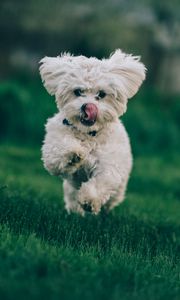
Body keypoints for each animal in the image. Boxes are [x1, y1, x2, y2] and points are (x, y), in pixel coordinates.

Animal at [39, 49, 146, 214]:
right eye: (78, 91)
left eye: (101, 94)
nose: (87, 106)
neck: (88, 134)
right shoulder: (53, 147)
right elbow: (58, 152)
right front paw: (73, 154)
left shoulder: (109, 164)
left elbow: (102, 181)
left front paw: (90, 200)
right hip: (70, 189)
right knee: (72, 198)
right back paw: (75, 211)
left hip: (118, 190)